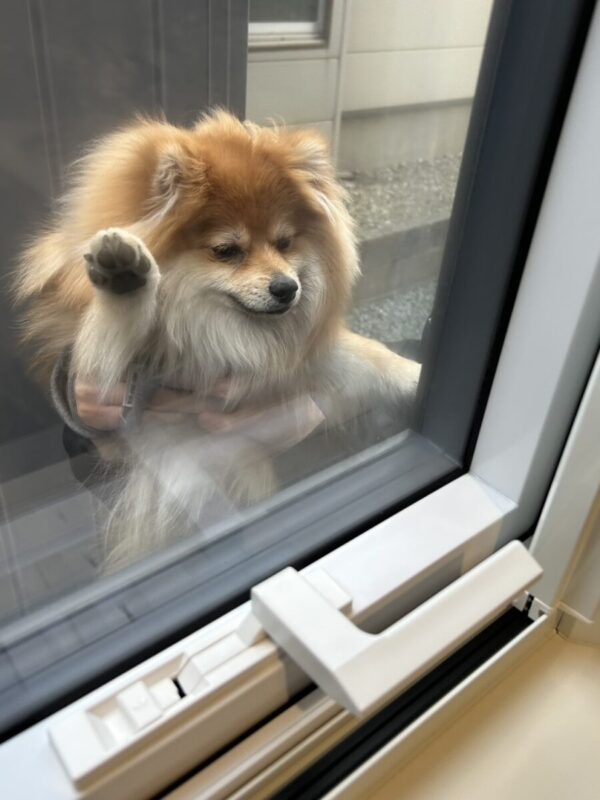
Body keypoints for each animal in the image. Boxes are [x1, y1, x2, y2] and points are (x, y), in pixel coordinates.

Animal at [15, 110, 420, 571]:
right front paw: (125, 278)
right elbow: (111, 332)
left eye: (285, 242)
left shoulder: (303, 358)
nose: (287, 288)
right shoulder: (129, 385)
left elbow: (373, 355)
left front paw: (417, 374)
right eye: (227, 250)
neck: (214, 329)